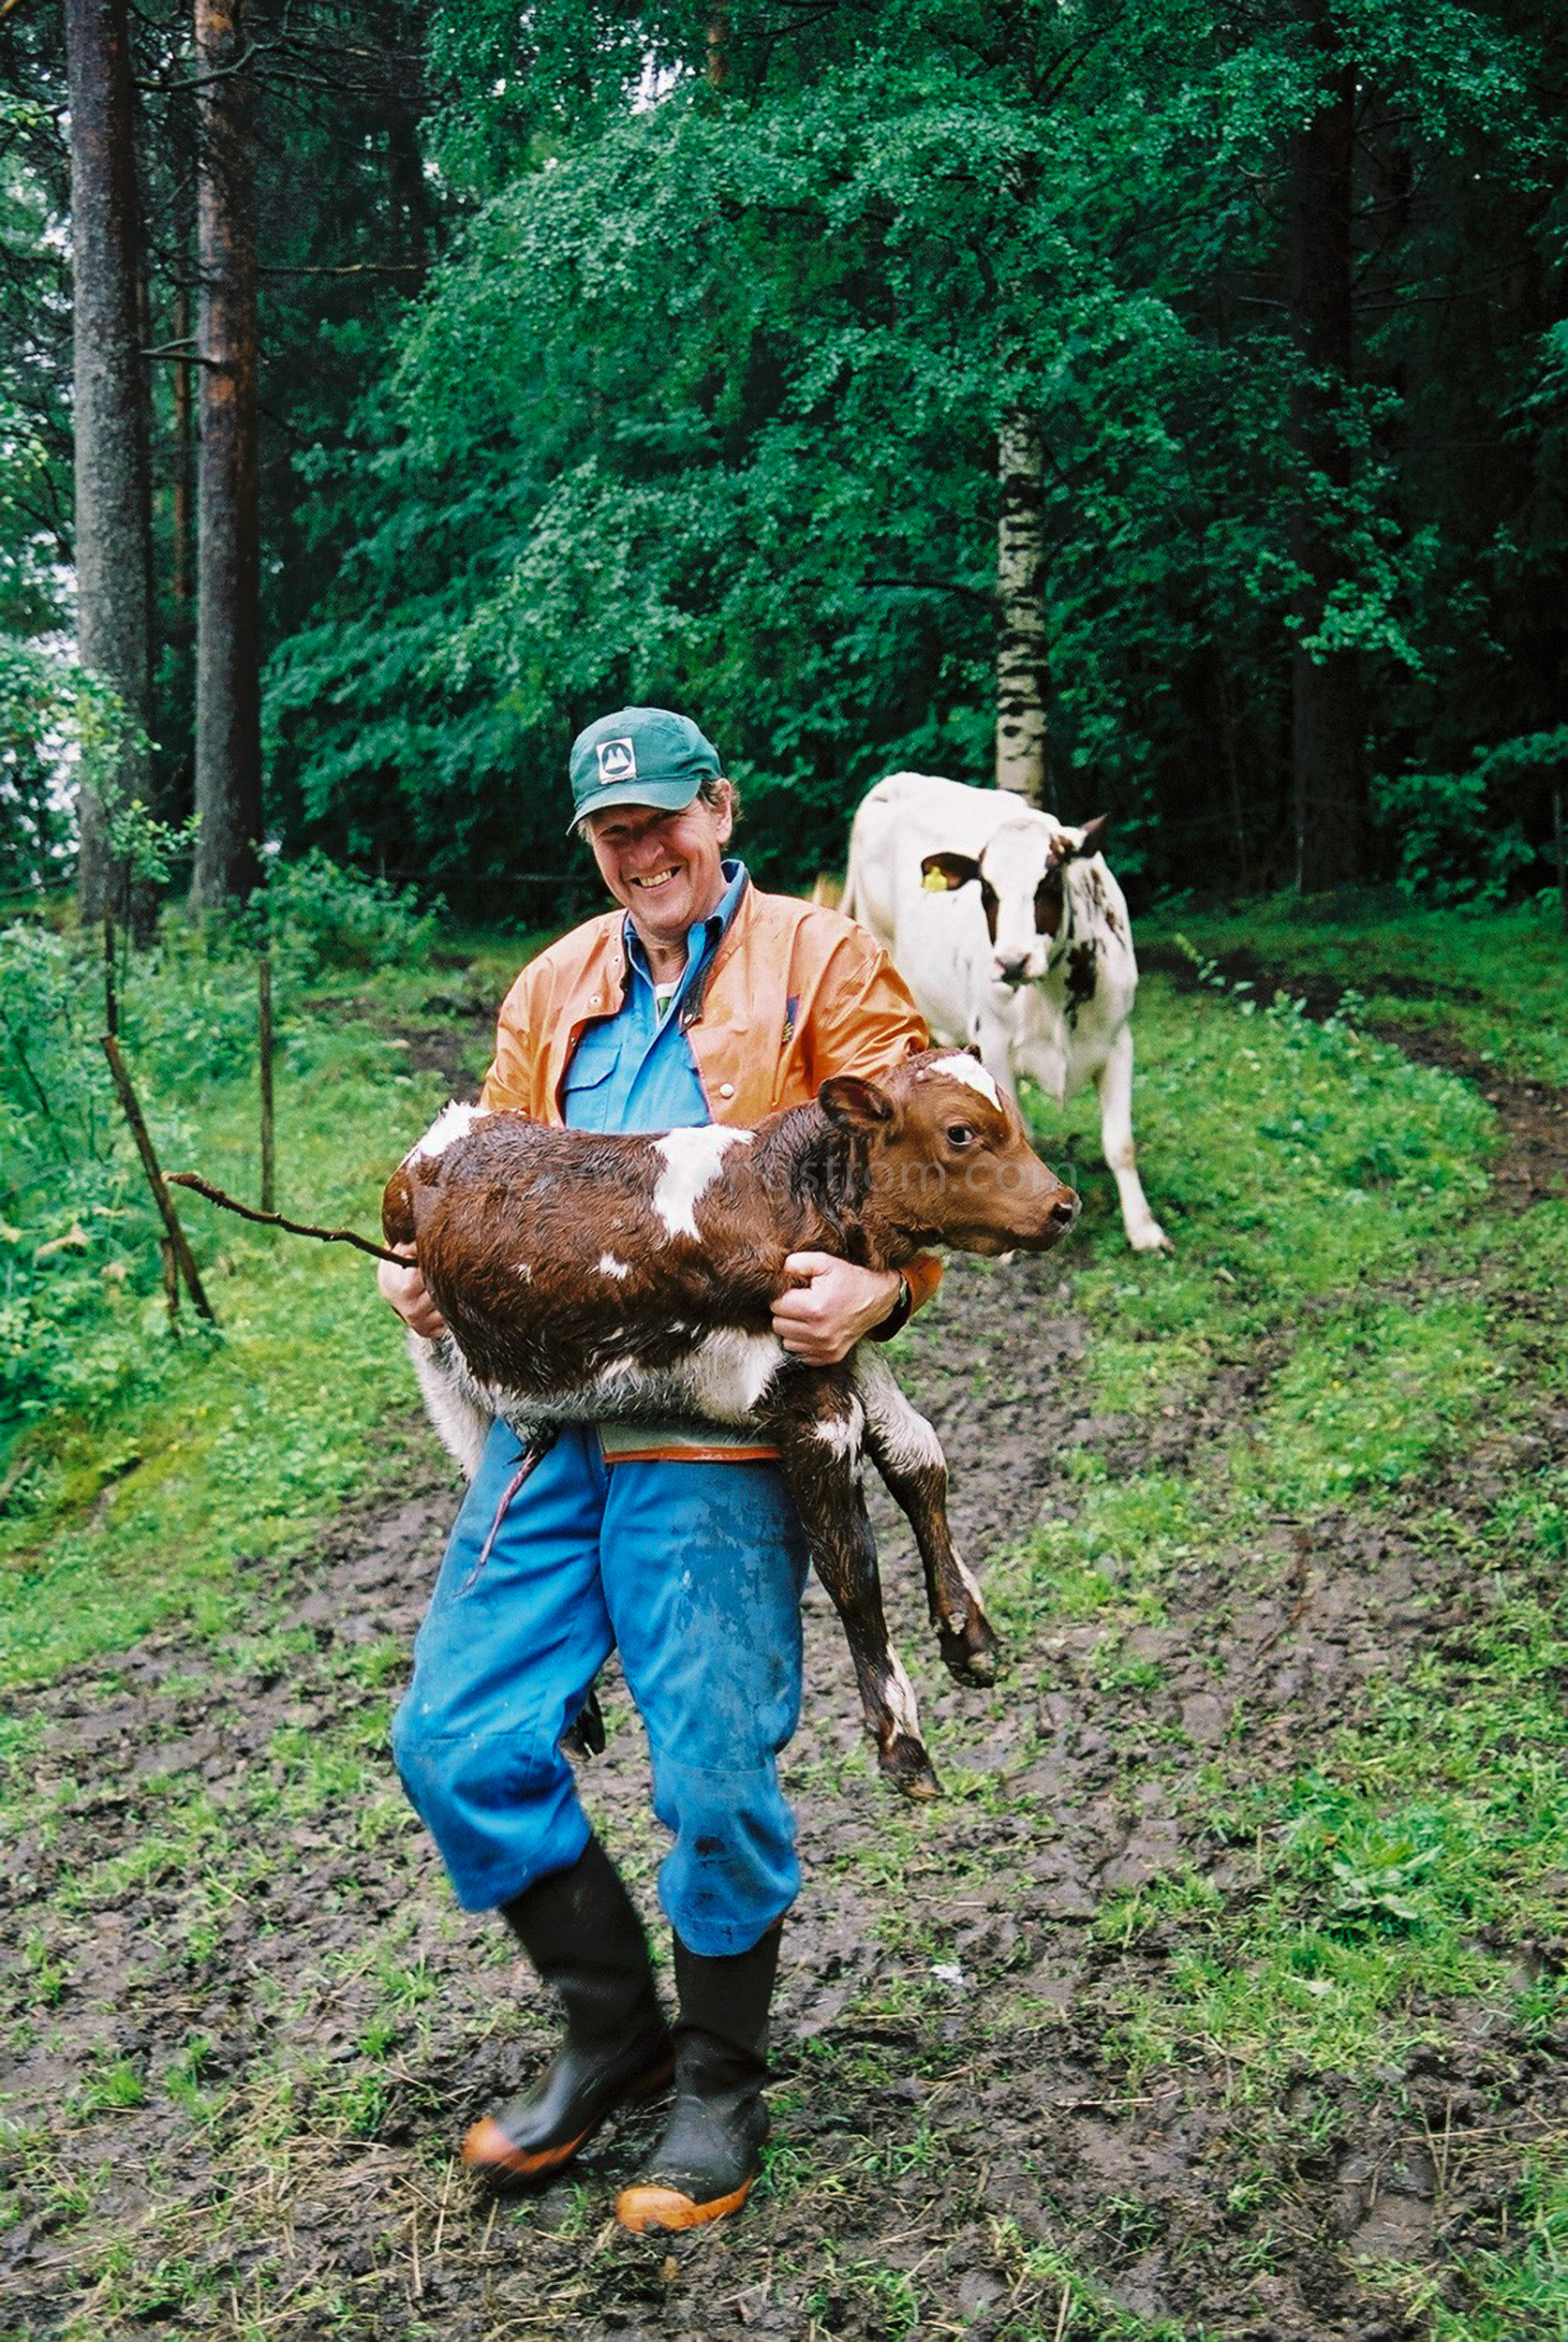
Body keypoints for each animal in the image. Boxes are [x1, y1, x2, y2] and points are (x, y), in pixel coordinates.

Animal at [386, 1054, 1086, 1799]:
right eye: (960, 1132)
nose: (1063, 1204)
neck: (784, 1197)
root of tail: (449, 1132)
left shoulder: (839, 1347)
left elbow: (917, 1458)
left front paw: (967, 1633)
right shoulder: (810, 1408)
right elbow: (851, 1564)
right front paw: (901, 1738)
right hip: (445, 1366)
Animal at [847, 773, 1165, 1255]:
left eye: (1049, 881)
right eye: (986, 890)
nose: (1013, 962)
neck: (1052, 996)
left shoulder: (1116, 1040)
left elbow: (1120, 1144)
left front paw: (1144, 1229)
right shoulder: (993, 1044)